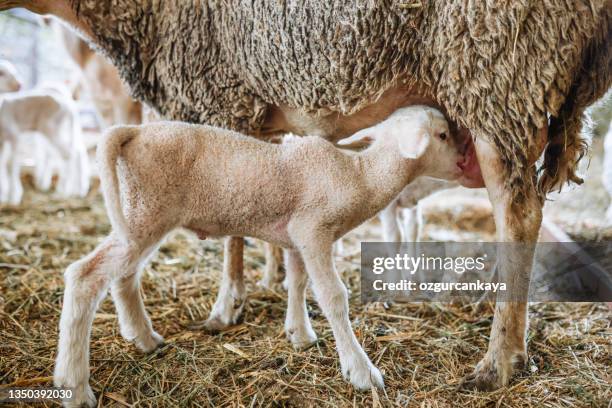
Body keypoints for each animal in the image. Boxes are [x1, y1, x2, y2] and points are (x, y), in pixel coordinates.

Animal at [55, 105, 462, 404]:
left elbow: (297, 281)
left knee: (123, 275)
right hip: (147, 212)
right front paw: (362, 371)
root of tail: (133, 132)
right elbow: (333, 297)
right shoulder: (313, 229)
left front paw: (300, 333)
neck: (359, 175)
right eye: (443, 135)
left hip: (139, 213)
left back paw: (144, 338)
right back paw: (75, 386)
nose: (462, 162)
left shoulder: (296, 235)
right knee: (85, 275)